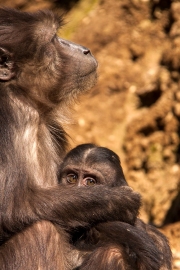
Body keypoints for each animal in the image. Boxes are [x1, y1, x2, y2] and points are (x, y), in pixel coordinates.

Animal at [0, 7, 141, 268]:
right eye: (53, 39)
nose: (83, 49)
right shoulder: (10, 115)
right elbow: (9, 208)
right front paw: (116, 200)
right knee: (40, 230)